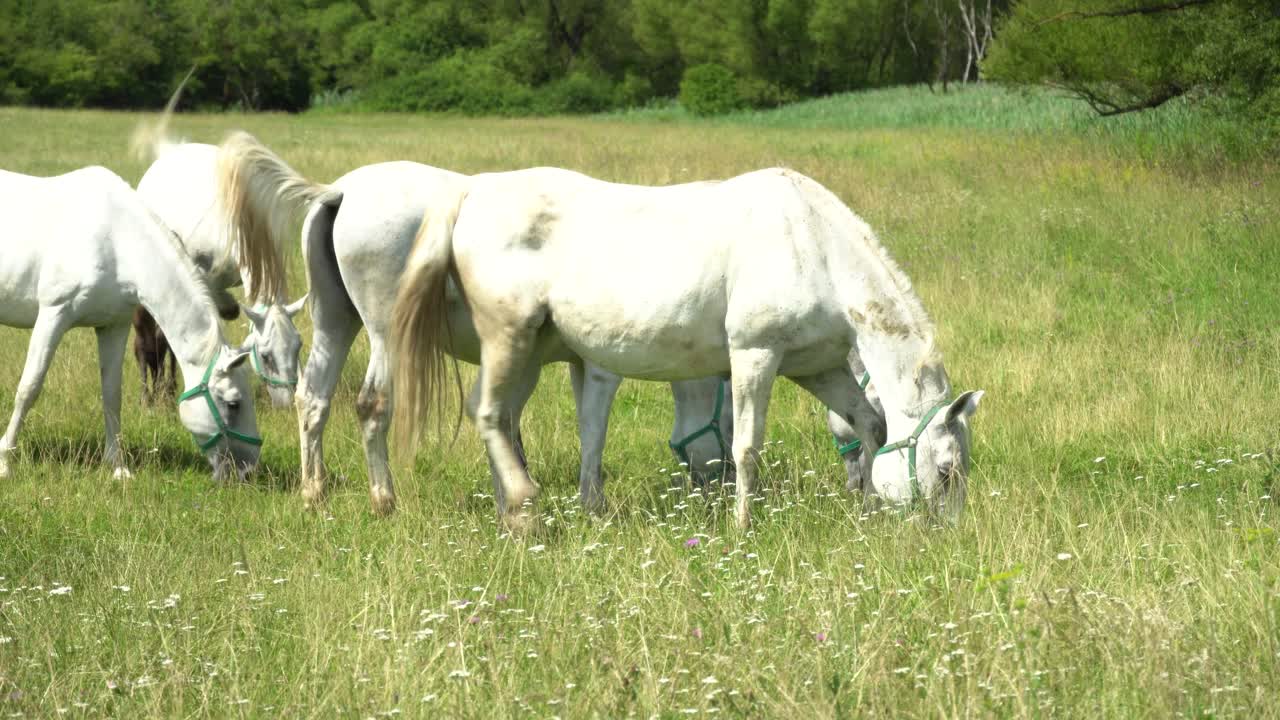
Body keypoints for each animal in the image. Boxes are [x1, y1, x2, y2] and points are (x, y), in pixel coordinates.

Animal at [0, 166, 262, 481]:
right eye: (234, 403)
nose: (248, 470)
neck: (116, 242)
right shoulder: (54, 315)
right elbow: (29, 387)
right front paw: (5, 461)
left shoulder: (114, 326)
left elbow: (112, 394)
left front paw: (117, 467)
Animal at [209, 134, 883, 516]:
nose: (859, 483)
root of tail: (340, 191)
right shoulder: (599, 365)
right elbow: (588, 428)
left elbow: (524, 423)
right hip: (381, 334)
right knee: (372, 405)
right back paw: (384, 500)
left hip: (335, 320)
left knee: (313, 399)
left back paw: (314, 492)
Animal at [391, 166, 984, 529]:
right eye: (947, 470)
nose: (945, 535)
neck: (815, 247)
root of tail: (469, 197)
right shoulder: (754, 355)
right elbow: (746, 447)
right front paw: (744, 523)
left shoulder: (815, 368)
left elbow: (868, 423)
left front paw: (865, 508)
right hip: (508, 338)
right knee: (489, 414)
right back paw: (522, 507)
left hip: (531, 351)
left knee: (501, 416)